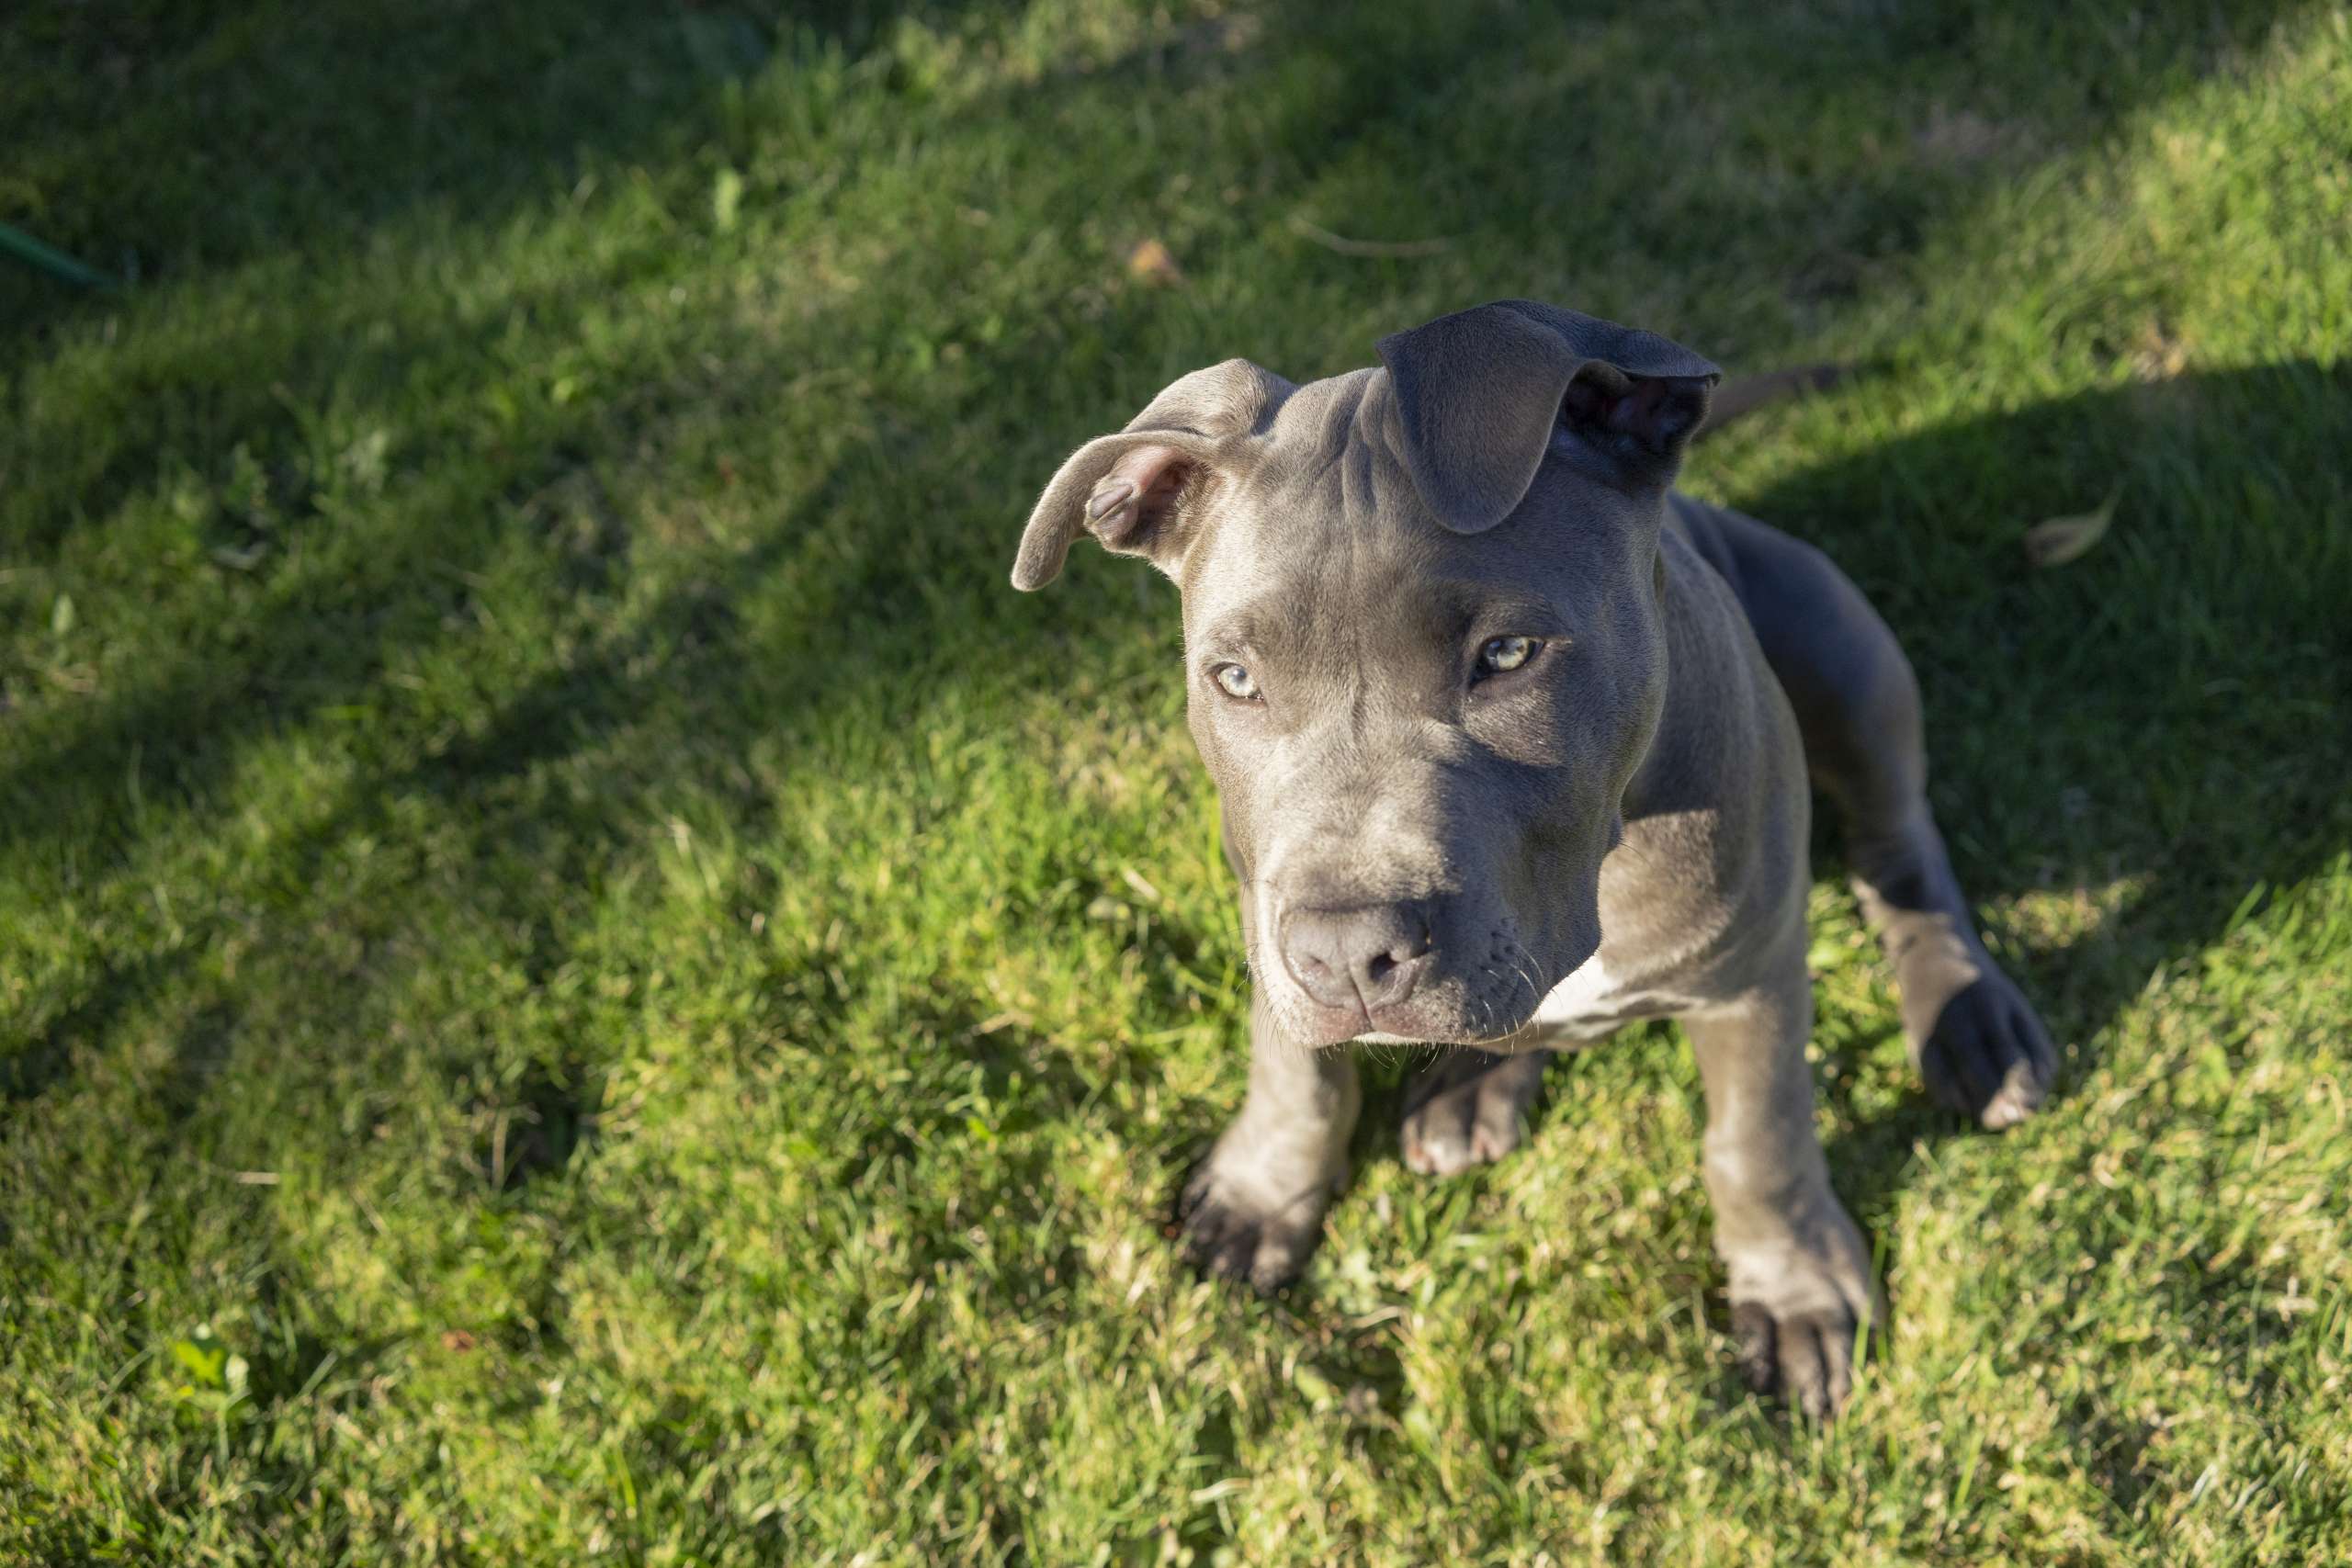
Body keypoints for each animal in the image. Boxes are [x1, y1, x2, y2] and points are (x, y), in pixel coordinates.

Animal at [1011, 300, 2060, 1419]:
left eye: (1507, 656)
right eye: (1236, 679)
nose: (1345, 955)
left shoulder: (1755, 977)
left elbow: (1758, 1143)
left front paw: (1795, 1293)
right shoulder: (1264, 894)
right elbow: (1291, 1062)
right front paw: (1264, 1190)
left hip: (1844, 647)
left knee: (1903, 850)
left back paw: (1973, 1023)